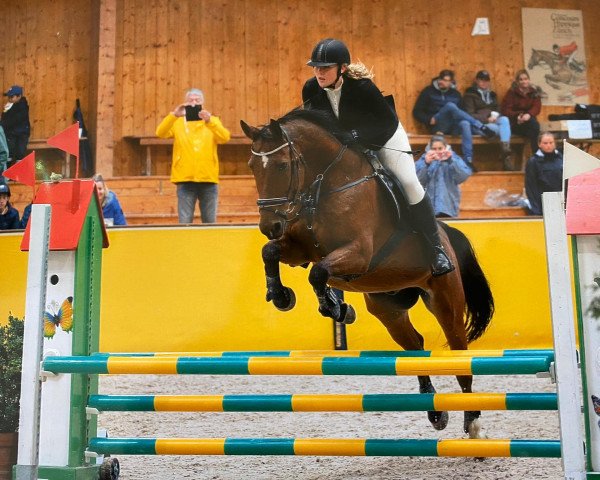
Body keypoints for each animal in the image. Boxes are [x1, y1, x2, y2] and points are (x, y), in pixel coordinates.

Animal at [241, 110, 494, 440]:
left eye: (282, 165)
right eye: (251, 165)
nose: (269, 226)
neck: (328, 184)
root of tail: (446, 235)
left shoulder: (358, 253)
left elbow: (318, 273)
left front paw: (334, 307)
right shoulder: (301, 249)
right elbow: (271, 252)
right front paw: (283, 296)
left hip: (445, 300)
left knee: (459, 353)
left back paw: (472, 421)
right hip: (387, 307)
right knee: (415, 345)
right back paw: (436, 411)